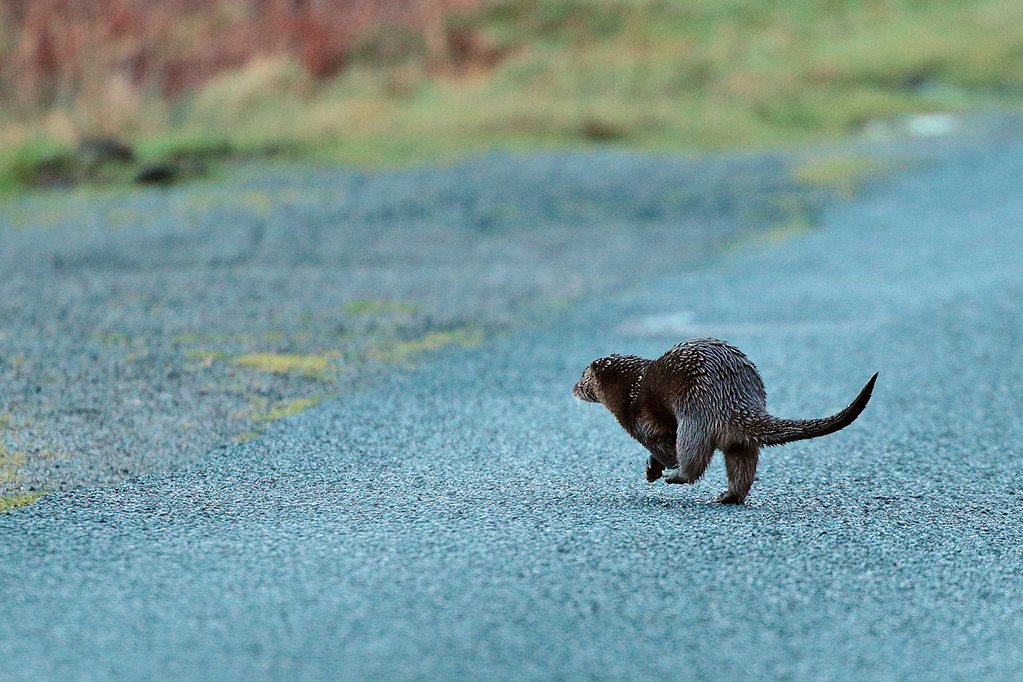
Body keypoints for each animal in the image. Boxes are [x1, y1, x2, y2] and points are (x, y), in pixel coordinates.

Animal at [572, 338, 877, 504]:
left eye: (581, 377)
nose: (573, 388)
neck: (629, 389)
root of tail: (734, 398)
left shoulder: (640, 420)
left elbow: (664, 446)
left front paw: (660, 467)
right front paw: (650, 469)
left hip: (695, 413)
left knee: (693, 457)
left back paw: (677, 476)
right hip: (738, 440)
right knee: (743, 464)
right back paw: (728, 496)